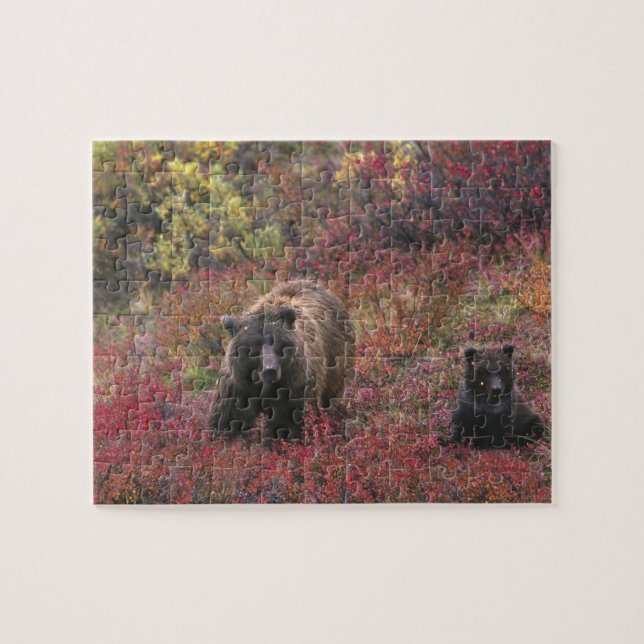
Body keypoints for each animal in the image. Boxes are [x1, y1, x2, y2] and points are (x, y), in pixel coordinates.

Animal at [208, 280, 355, 443]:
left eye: (277, 343)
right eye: (253, 347)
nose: (270, 370)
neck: (263, 385)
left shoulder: (294, 387)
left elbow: (286, 422)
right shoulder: (238, 386)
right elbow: (230, 419)